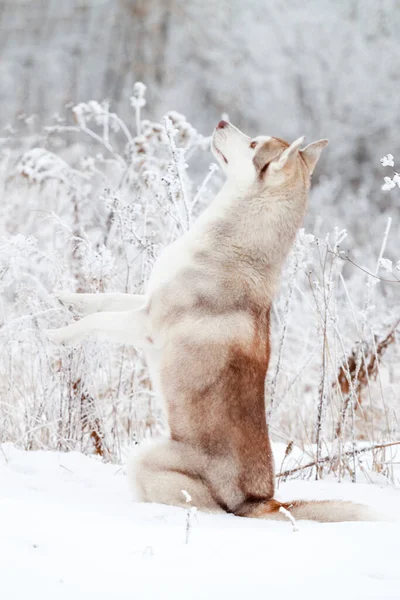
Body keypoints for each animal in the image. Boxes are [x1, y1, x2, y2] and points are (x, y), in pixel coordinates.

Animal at [48, 120, 376, 520]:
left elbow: (97, 322)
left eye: (252, 144)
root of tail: (261, 500)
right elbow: (103, 301)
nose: (221, 122)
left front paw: (57, 335)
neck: (232, 246)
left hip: (147, 458)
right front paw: (67, 298)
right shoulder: (145, 302)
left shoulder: (146, 326)